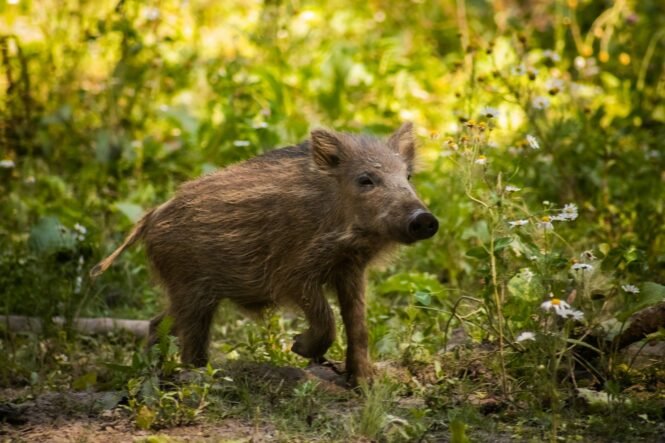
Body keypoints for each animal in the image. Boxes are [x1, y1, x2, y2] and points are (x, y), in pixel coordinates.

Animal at [91, 123, 438, 385]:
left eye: (407, 177)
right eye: (366, 179)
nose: (425, 219)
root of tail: (151, 215)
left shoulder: (351, 270)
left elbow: (358, 323)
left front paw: (365, 383)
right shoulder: (293, 275)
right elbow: (327, 318)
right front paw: (300, 348)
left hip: (196, 294)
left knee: (159, 324)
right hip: (189, 288)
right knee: (179, 335)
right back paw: (187, 377)